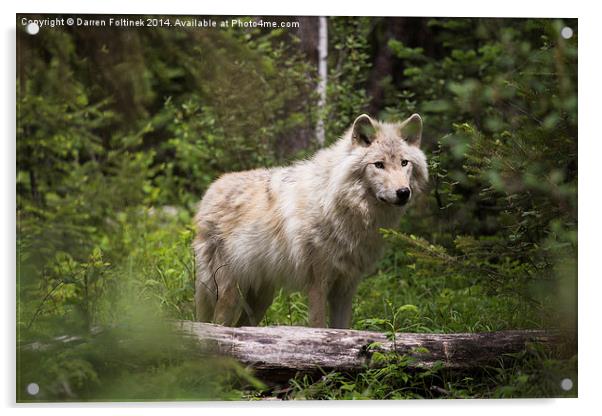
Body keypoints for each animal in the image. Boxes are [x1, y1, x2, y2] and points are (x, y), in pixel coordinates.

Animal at [192, 113, 426, 328]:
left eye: (404, 163)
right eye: (378, 165)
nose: (403, 192)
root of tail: (210, 190)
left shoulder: (346, 288)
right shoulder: (318, 286)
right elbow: (319, 327)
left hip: (261, 299)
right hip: (228, 294)